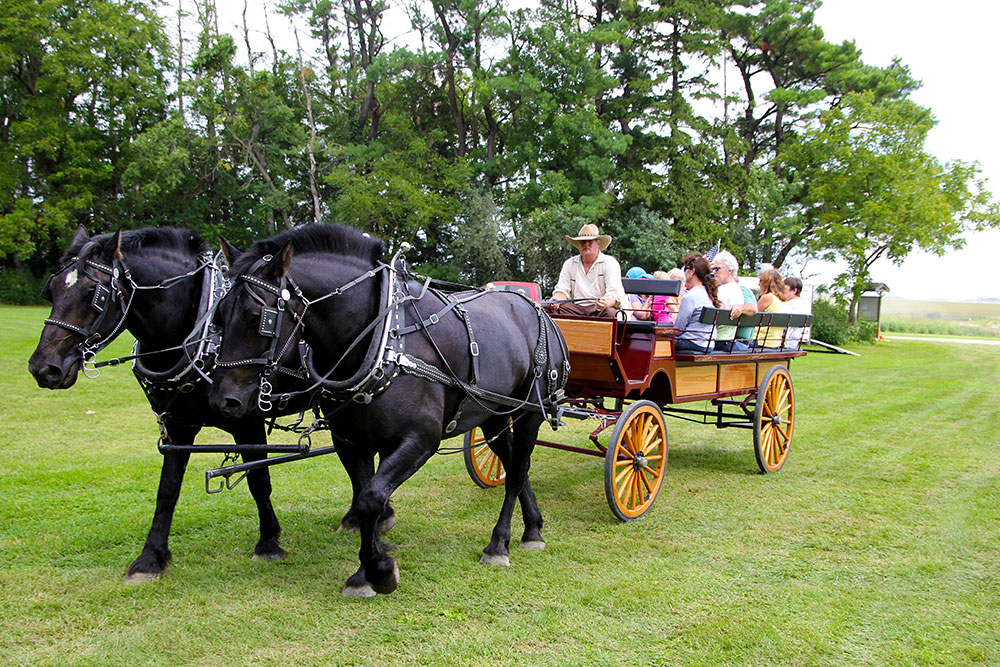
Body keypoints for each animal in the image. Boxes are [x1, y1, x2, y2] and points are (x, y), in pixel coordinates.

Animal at [27, 227, 318, 580]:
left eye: (93, 294)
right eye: (52, 290)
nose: (44, 367)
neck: (199, 336)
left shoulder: (246, 421)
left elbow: (259, 481)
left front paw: (269, 542)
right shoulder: (179, 425)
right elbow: (167, 489)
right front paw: (150, 557)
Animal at [207, 227, 568, 596]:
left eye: (259, 318)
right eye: (218, 315)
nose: (223, 400)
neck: (384, 340)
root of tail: (537, 309)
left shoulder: (421, 440)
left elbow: (371, 498)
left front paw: (378, 570)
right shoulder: (352, 441)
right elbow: (366, 497)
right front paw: (367, 568)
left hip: (530, 412)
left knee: (518, 470)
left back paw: (499, 543)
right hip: (493, 415)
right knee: (514, 465)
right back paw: (533, 528)